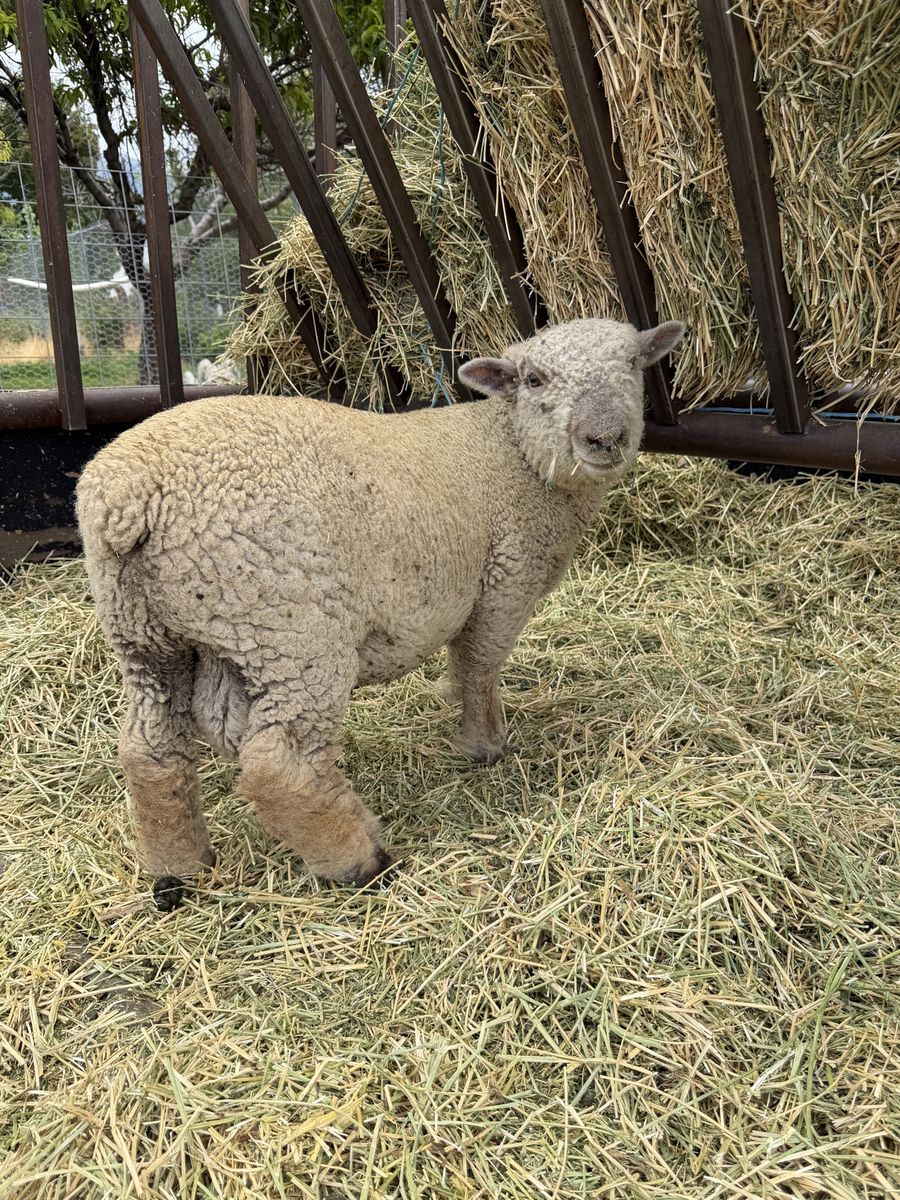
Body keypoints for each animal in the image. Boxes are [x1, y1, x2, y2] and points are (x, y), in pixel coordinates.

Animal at [76, 316, 685, 902]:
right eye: (534, 380)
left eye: (634, 363)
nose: (605, 438)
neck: (511, 450)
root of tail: (129, 494)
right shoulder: (503, 583)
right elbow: (480, 665)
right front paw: (485, 746)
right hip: (292, 632)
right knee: (280, 764)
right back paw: (360, 861)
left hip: (153, 637)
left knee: (152, 751)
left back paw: (179, 869)